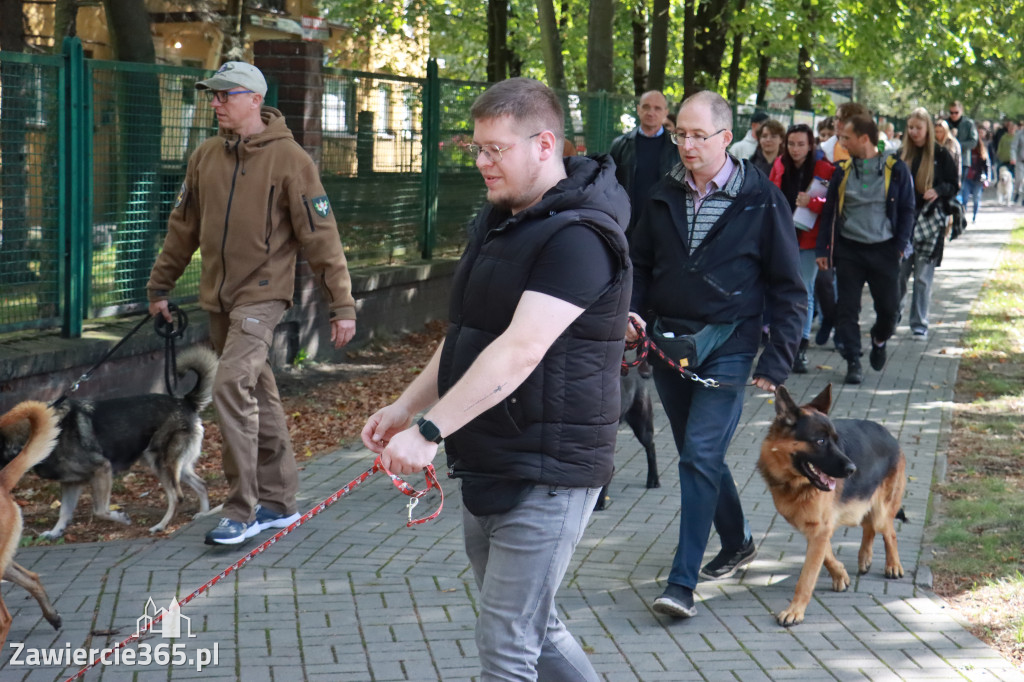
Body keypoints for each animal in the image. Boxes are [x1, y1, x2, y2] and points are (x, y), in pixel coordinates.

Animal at [1, 346, 218, 536]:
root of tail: (185, 402)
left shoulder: (102, 469)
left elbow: (100, 510)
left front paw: (121, 518)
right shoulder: (72, 483)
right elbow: (64, 512)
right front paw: (55, 532)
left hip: (161, 464)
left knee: (177, 497)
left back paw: (161, 526)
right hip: (172, 465)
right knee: (201, 484)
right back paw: (204, 513)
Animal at [757, 382, 909, 622]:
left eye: (836, 441)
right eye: (820, 441)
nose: (852, 469)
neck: (795, 483)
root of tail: (889, 435)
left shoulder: (819, 528)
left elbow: (807, 576)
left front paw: (795, 610)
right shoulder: (813, 526)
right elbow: (826, 555)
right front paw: (840, 575)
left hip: (882, 511)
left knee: (888, 531)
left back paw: (893, 565)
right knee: (868, 526)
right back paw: (864, 557)